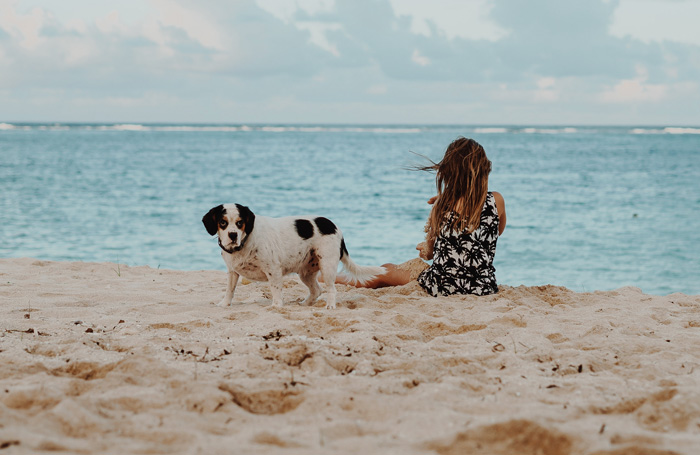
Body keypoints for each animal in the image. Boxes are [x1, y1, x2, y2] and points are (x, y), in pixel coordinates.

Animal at [202, 206, 386, 310]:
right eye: (223, 222)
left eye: (240, 223)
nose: (232, 235)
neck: (246, 240)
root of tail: (335, 227)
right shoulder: (232, 272)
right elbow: (229, 290)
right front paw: (225, 304)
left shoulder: (273, 270)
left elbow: (276, 289)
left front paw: (276, 306)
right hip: (306, 273)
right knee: (317, 290)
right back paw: (305, 304)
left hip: (327, 267)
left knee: (331, 289)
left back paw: (330, 305)